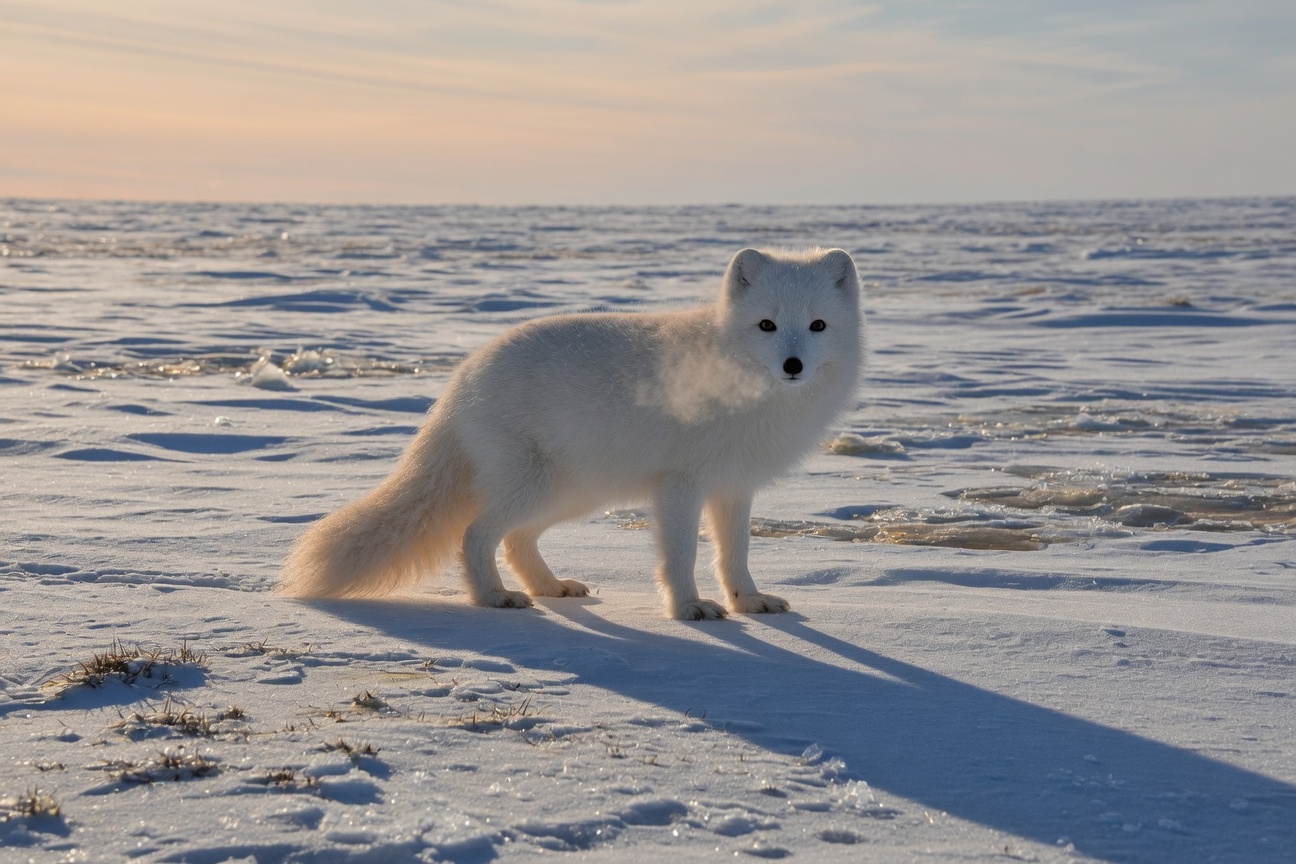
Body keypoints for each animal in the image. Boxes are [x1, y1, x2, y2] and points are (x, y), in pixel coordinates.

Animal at [279, 247, 863, 620]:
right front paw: (687, 609)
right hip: (537, 485)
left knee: (516, 540)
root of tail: (461, 379)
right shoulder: (680, 485)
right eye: (766, 325)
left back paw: (549, 587)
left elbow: (734, 554)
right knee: (476, 534)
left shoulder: (734, 487)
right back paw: (495, 598)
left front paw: (749, 603)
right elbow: (681, 556)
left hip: (574, 491)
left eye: (817, 326)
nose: (792, 365)